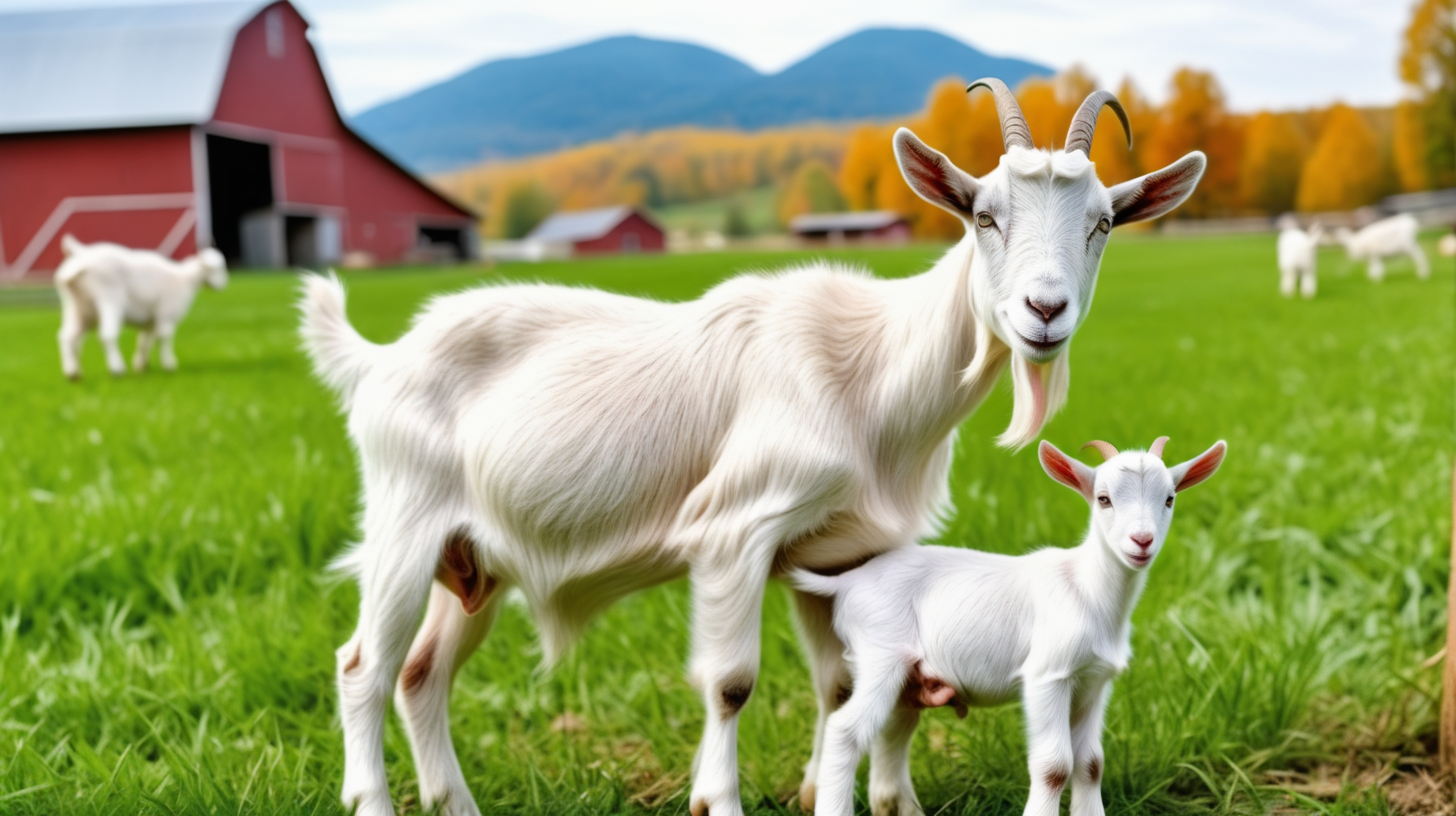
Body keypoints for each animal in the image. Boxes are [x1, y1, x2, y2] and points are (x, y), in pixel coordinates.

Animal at [54, 233, 225, 378]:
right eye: (219, 267)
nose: (222, 285)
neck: (184, 279)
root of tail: (81, 257)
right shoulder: (166, 315)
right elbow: (164, 337)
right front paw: (169, 365)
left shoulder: (150, 320)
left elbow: (144, 341)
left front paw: (141, 366)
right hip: (109, 298)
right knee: (107, 334)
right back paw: (117, 369)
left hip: (79, 307)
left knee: (68, 336)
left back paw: (73, 372)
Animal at [792, 440, 1223, 816]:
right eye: (1103, 499)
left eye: (1169, 498)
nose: (1142, 540)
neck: (1088, 588)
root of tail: (847, 582)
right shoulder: (1048, 675)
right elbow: (1055, 766)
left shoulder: (1094, 681)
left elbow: (1091, 763)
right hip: (880, 654)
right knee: (845, 731)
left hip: (906, 677)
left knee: (892, 733)